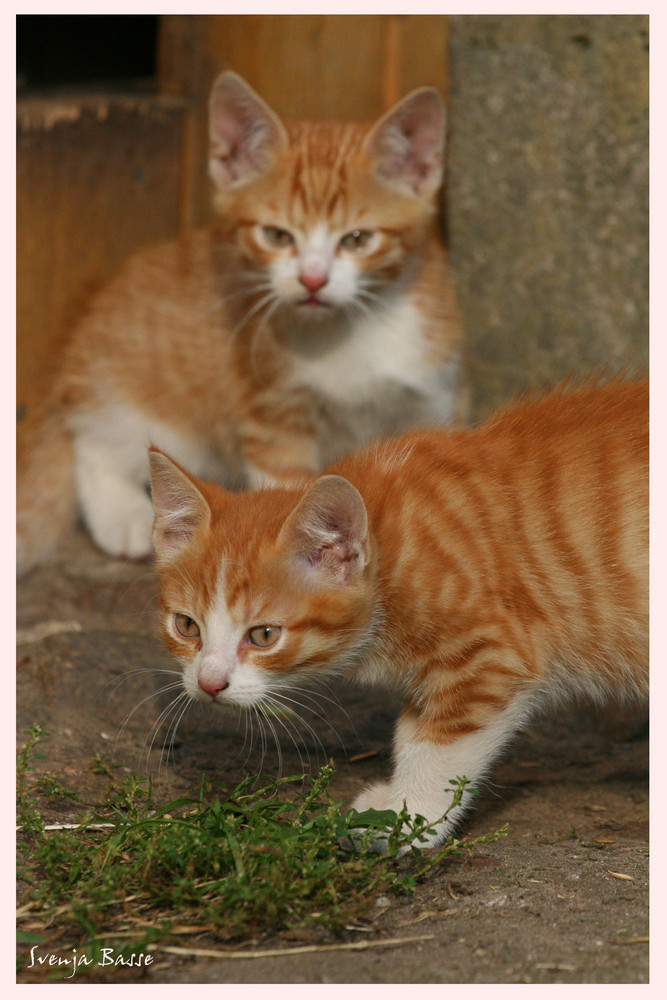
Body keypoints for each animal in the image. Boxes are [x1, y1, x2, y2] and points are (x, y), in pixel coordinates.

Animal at [17, 70, 464, 580]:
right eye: (276, 235)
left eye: (357, 239)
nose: (313, 280)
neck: (350, 329)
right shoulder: (273, 410)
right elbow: (291, 494)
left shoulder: (432, 394)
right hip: (148, 393)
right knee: (92, 442)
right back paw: (122, 515)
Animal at [149, 378, 648, 848]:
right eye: (186, 626)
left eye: (264, 635)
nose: (209, 684)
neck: (393, 551)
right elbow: (410, 734)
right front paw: (390, 803)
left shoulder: (494, 657)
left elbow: (440, 750)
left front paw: (409, 819)